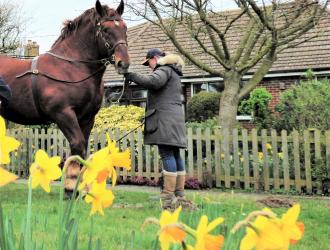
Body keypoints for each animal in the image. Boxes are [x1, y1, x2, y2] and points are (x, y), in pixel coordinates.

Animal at [0, 0, 129, 160]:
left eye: (124, 27)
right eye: (105, 29)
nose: (123, 63)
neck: (71, 67)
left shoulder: (88, 118)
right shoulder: (63, 114)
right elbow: (77, 147)